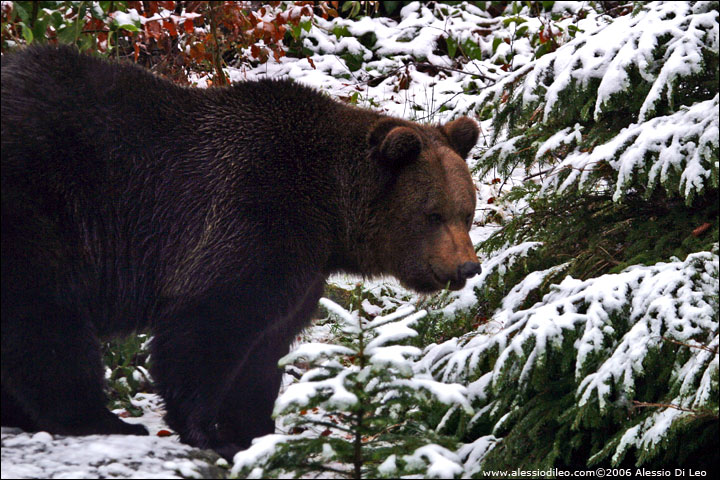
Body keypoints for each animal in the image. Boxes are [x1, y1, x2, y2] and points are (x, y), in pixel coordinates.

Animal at [1, 46, 484, 462]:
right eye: (433, 214)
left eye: (467, 212)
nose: (468, 266)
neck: (329, 211)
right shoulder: (252, 214)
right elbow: (207, 327)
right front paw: (208, 433)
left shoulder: (303, 269)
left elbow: (265, 351)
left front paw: (257, 432)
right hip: (41, 205)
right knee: (45, 318)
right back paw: (100, 420)